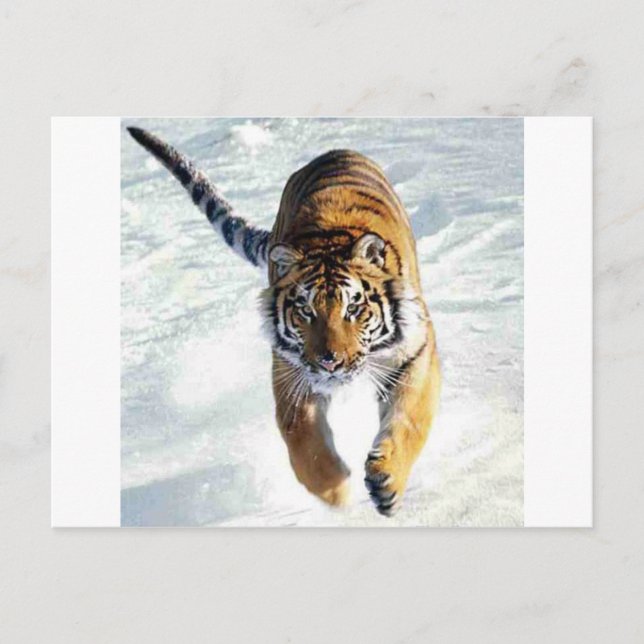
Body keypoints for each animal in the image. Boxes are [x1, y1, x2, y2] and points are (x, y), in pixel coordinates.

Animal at [128, 126, 441, 516]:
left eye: (353, 308)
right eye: (306, 310)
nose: (330, 362)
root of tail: (333, 151)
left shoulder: (415, 353)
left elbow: (409, 419)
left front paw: (387, 483)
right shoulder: (291, 371)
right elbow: (303, 442)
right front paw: (336, 492)